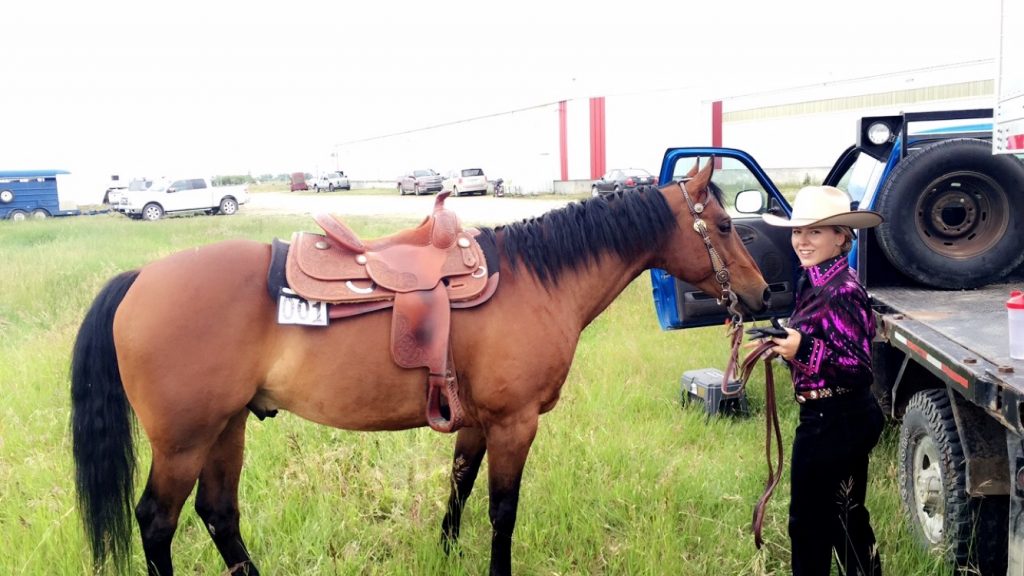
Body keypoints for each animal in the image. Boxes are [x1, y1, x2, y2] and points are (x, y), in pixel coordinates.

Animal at [70, 160, 770, 575]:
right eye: (725, 223)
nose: (762, 295)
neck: (536, 279)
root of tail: (140, 280)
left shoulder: (478, 421)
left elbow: (458, 485)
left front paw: (445, 550)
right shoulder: (515, 423)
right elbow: (502, 510)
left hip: (226, 428)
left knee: (219, 513)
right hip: (184, 441)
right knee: (157, 523)